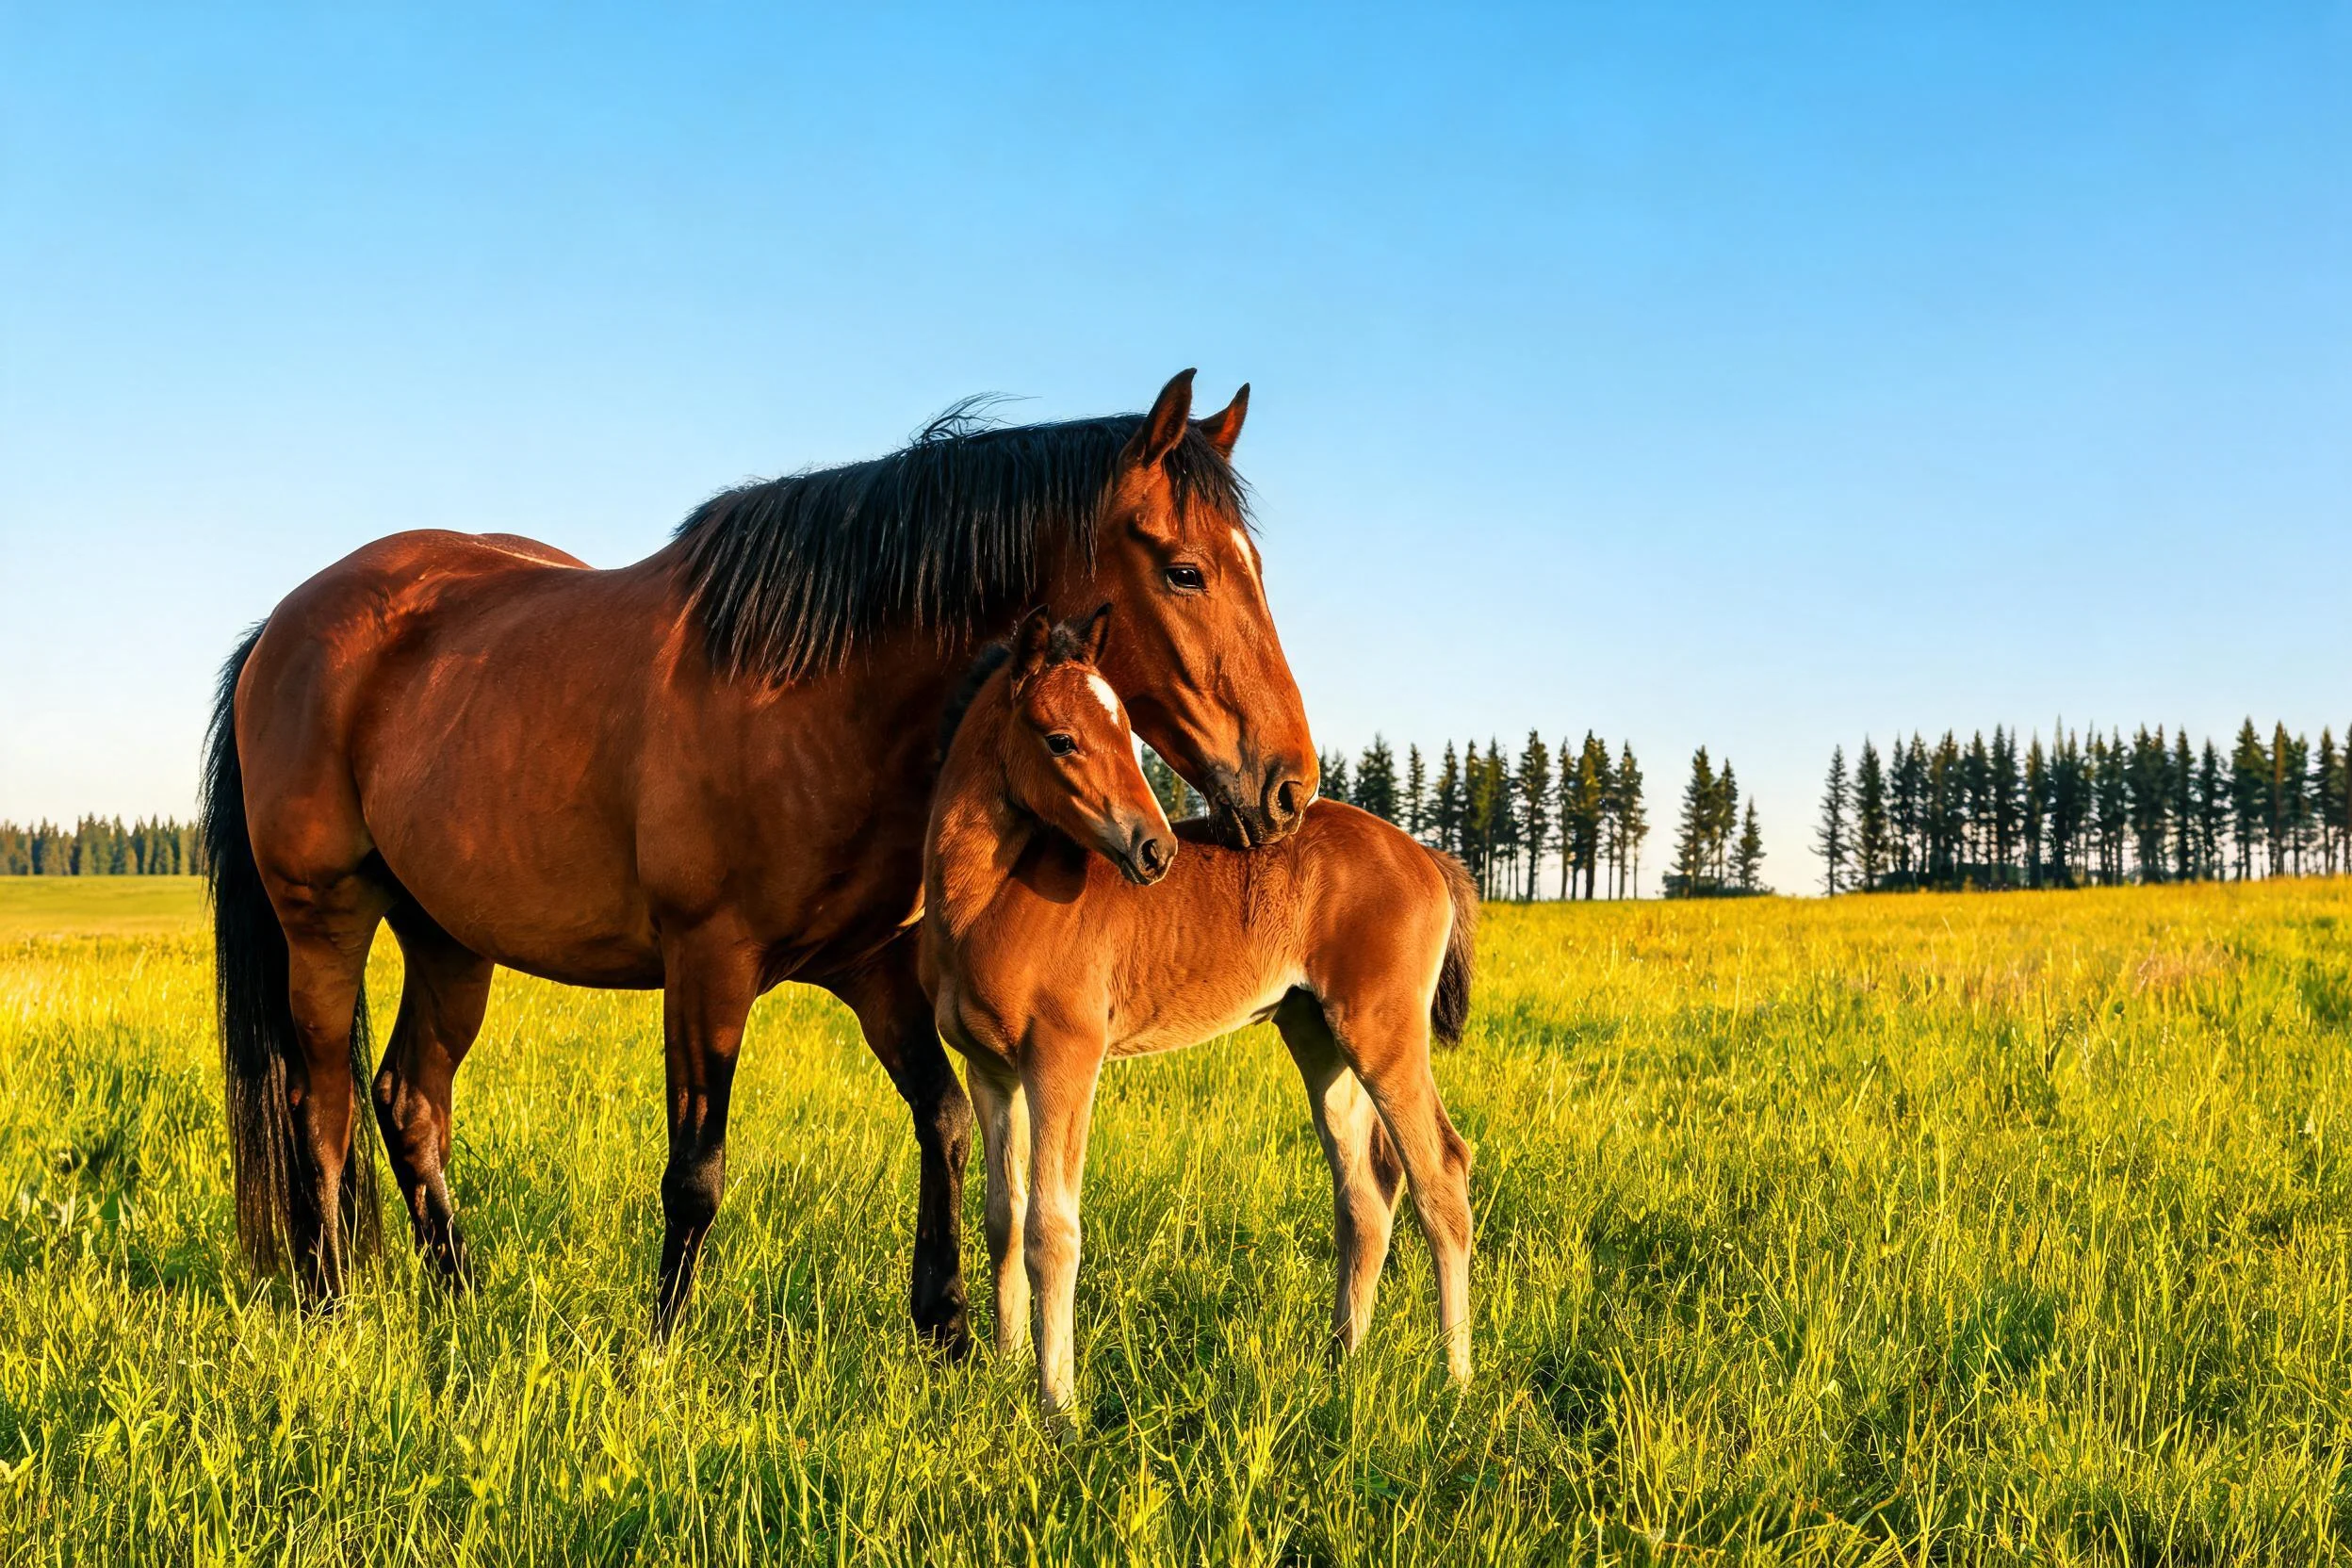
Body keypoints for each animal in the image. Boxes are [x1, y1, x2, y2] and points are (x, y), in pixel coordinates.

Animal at [199, 371, 1319, 1350]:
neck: (821, 693)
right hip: (325, 918)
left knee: (409, 1100)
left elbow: (947, 1121)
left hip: (448, 938)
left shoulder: (875, 971)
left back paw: (460, 1295)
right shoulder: (708, 966)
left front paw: (947, 1330)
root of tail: (283, 628)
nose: (1289, 787)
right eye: (1184, 569)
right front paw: (658, 1349)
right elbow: (695, 1172)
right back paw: (329, 1303)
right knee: (321, 1106)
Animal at [919, 607, 1477, 1418]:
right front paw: (1006, 1370)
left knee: (1440, 1174)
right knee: (1366, 1194)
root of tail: (1426, 855)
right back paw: (1342, 1362)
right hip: (1320, 1038)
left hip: (1383, 1034)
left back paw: (1456, 1375)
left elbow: (1052, 1228)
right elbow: (1003, 1218)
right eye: (1061, 738)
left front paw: (1058, 1407)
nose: (1155, 849)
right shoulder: (993, 1070)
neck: (987, 896)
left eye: (1128, 731)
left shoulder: (1064, 1058)